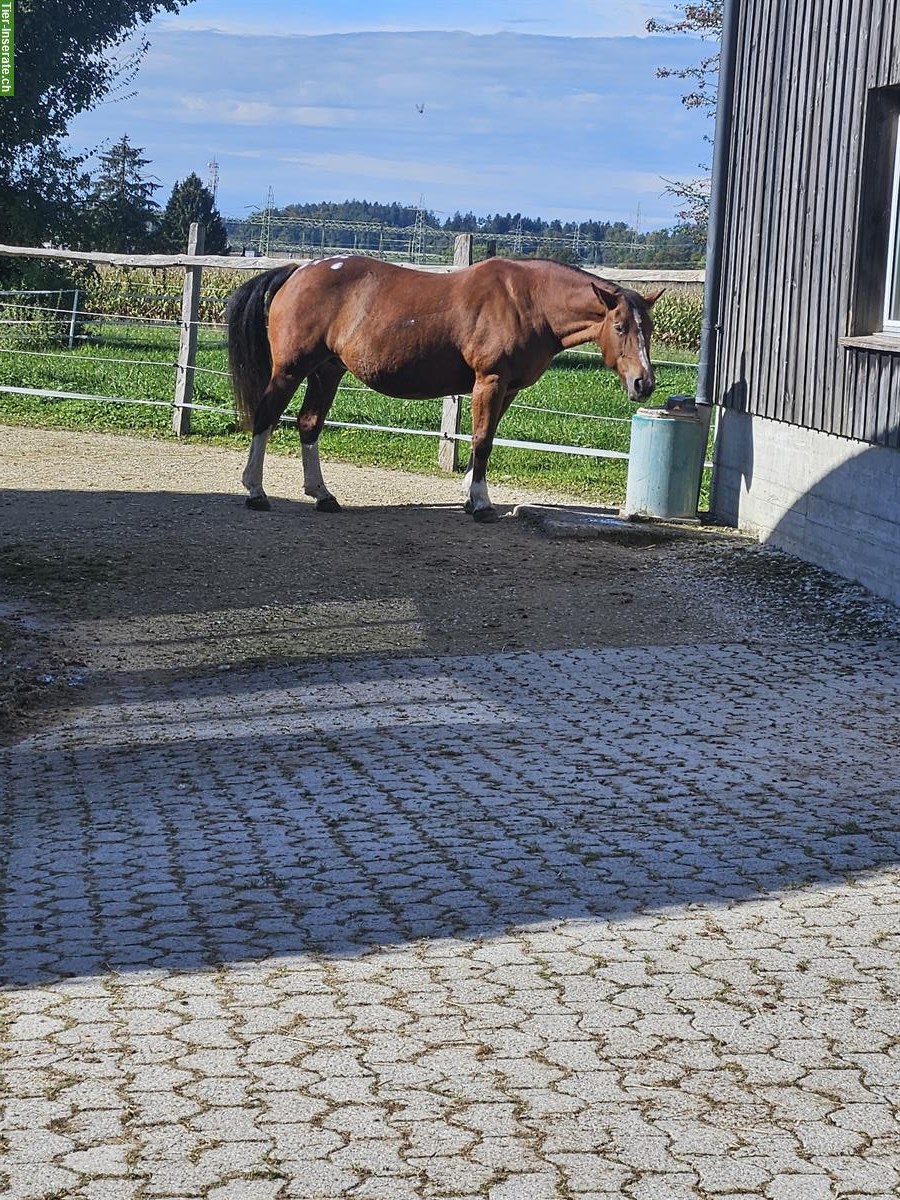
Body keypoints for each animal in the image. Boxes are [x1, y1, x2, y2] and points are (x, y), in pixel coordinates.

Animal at [225, 255, 662, 523]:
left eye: (651, 328)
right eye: (620, 326)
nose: (644, 383)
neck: (526, 301)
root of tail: (298, 270)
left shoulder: (508, 390)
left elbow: (485, 439)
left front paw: (470, 496)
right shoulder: (490, 381)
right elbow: (482, 441)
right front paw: (481, 503)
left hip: (326, 372)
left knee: (309, 424)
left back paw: (322, 495)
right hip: (291, 368)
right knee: (266, 417)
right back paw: (255, 491)